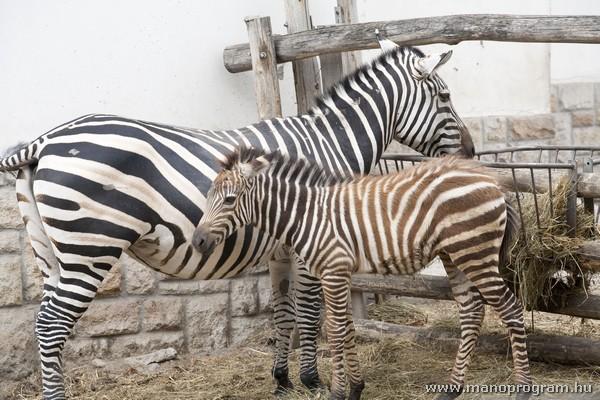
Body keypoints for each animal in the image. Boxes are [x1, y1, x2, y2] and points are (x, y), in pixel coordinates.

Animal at [3, 38, 474, 400]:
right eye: (446, 97)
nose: (470, 153)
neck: (327, 144)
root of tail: (46, 139)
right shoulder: (313, 241)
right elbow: (309, 310)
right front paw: (312, 380)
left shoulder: (283, 247)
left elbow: (283, 311)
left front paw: (282, 380)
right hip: (90, 248)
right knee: (51, 326)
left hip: (54, 254)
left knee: (44, 324)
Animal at [195, 148, 532, 400]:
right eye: (209, 196)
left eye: (230, 199)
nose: (197, 241)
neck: (307, 215)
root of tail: (492, 181)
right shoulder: (337, 273)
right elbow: (347, 327)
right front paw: (356, 388)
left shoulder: (332, 271)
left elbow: (335, 329)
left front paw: (337, 392)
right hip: (455, 255)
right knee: (472, 311)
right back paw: (450, 389)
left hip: (475, 253)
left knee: (511, 309)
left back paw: (523, 389)